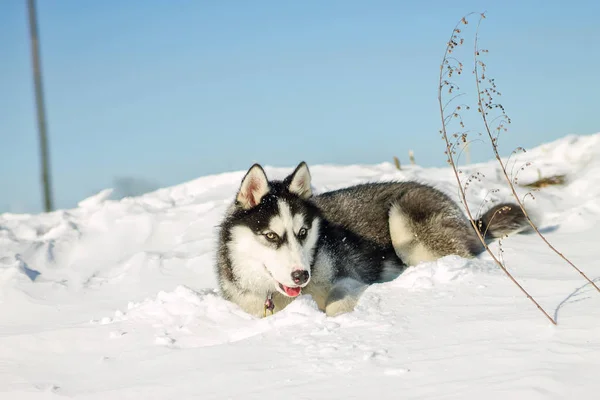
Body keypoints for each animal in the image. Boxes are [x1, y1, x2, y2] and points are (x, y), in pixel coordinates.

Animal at [214, 161, 524, 318]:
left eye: (302, 233)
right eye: (271, 235)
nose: (302, 275)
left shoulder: (348, 279)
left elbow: (336, 306)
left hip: (402, 218)